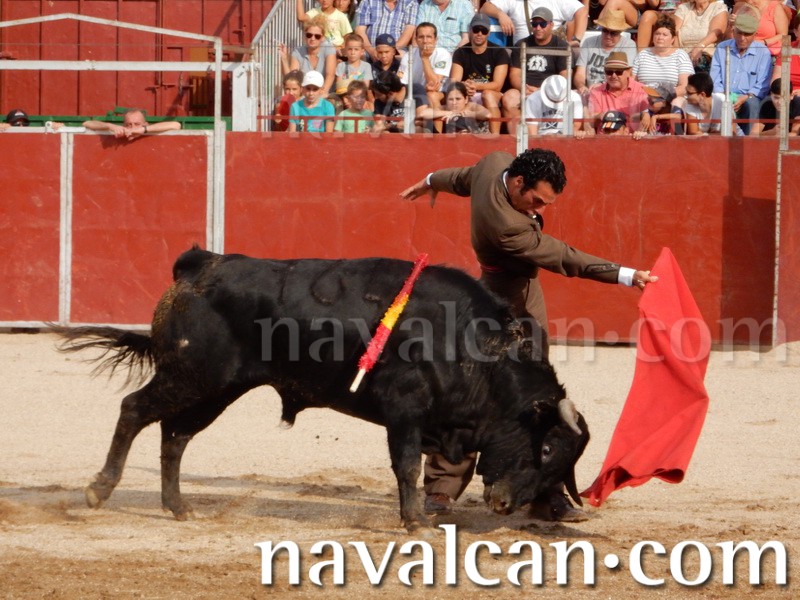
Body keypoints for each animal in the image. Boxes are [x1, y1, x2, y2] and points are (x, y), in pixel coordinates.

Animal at [54, 247, 589, 531]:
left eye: (559, 464)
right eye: (545, 448)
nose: (505, 505)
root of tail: (200, 265)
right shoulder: (405, 410)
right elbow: (407, 466)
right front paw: (416, 521)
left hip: (217, 388)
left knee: (174, 434)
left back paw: (179, 506)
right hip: (191, 375)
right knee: (134, 410)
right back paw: (99, 490)